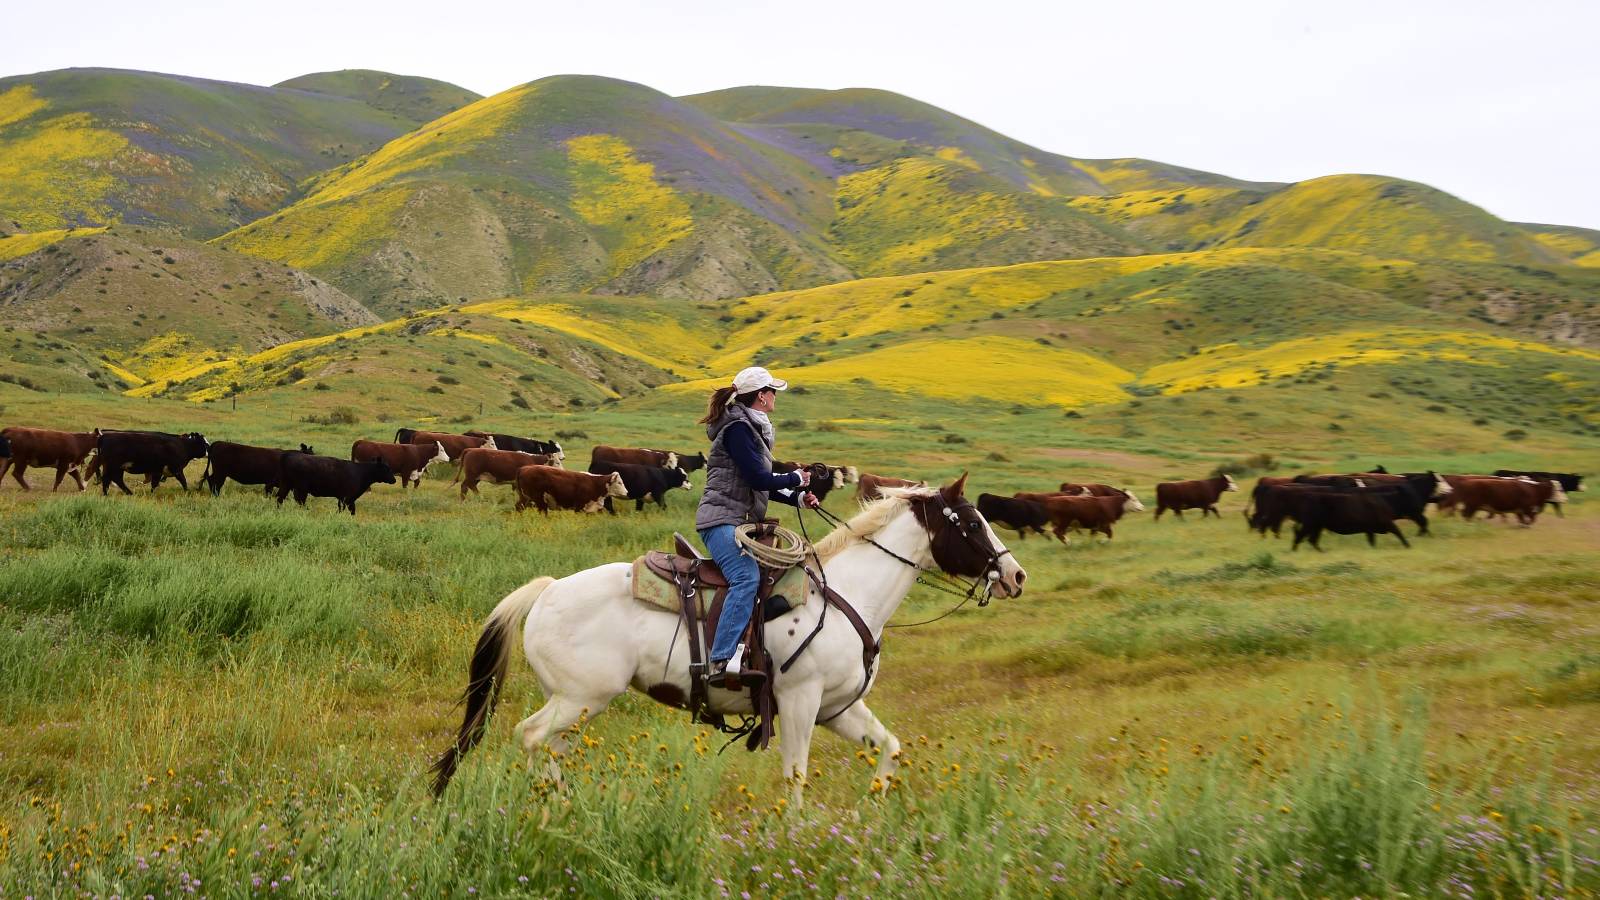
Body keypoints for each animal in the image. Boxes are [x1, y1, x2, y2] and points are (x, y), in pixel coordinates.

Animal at [428, 474, 1024, 800]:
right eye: (970, 523)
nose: (1016, 576)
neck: (845, 596)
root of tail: (548, 590)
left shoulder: (838, 708)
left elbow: (890, 749)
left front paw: (870, 811)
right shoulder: (800, 701)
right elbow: (795, 777)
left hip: (572, 703)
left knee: (550, 747)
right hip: (582, 697)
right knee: (531, 738)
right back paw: (555, 807)